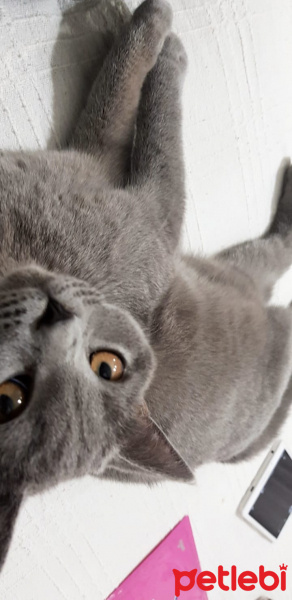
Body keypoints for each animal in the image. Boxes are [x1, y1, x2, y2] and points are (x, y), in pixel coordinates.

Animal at [0, 0, 292, 576]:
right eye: (10, 398)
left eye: (107, 365)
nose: (56, 320)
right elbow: (125, 109)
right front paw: (157, 31)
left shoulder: (137, 204)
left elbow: (120, 102)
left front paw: (150, 28)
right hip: (239, 273)